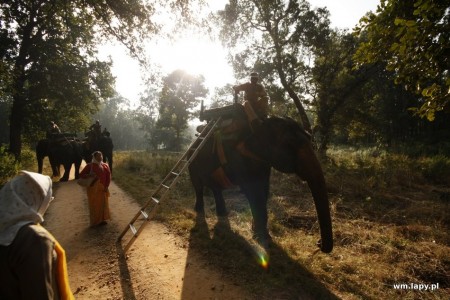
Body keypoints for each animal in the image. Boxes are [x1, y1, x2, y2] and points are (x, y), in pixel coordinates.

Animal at [188, 105, 332, 253]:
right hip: (191, 162)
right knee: (198, 186)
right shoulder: (240, 159)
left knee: (216, 188)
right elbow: (253, 192)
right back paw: (199, 211)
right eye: (290, 144)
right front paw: (262, 239)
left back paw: (222, 214)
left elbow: (264, 189)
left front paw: (260, 234)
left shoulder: (264, 162)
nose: (319, 244)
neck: (260, 124)